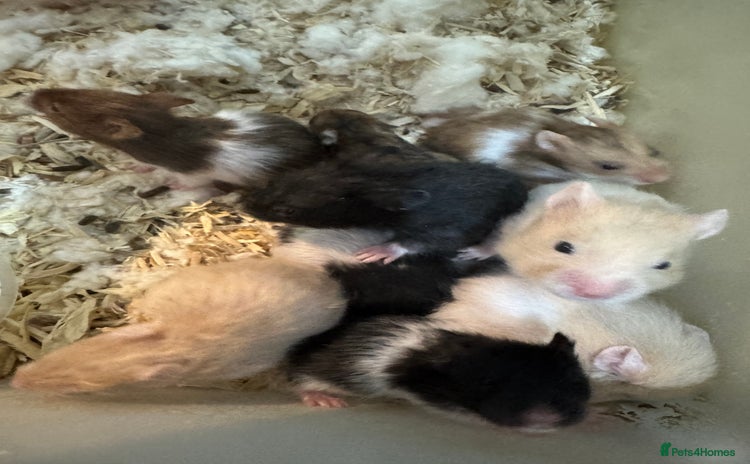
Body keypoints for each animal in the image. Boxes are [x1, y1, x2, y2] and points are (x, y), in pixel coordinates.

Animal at [28, 88, 324, 189]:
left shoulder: (194, 174)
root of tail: (316, 146)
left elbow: (186, 182)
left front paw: (172, 185)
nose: (33, 94)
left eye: (56, 108)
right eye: (83, 89)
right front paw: (134, 167)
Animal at [242, 161, 528, 263]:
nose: (243, 204)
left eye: (287, 210)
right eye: (275, 181)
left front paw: (375, 252)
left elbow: (418, 241)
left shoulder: (448, 227)